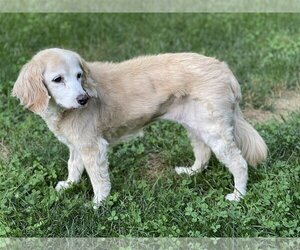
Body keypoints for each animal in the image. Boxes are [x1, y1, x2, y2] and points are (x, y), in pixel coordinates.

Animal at [11, 48, 268, 207]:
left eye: (79, 75)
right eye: (58, 79)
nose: (83, 99)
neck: (63, 111)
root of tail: (225, 69)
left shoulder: (93, 147)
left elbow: (98, 180)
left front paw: (98, 203)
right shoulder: (77, 145)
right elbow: (73, 167)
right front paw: (69, 185)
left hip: (215, 131)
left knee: (239, 163)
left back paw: (238, 195)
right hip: (196, 125)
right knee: (203, 153)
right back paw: (191, 172)